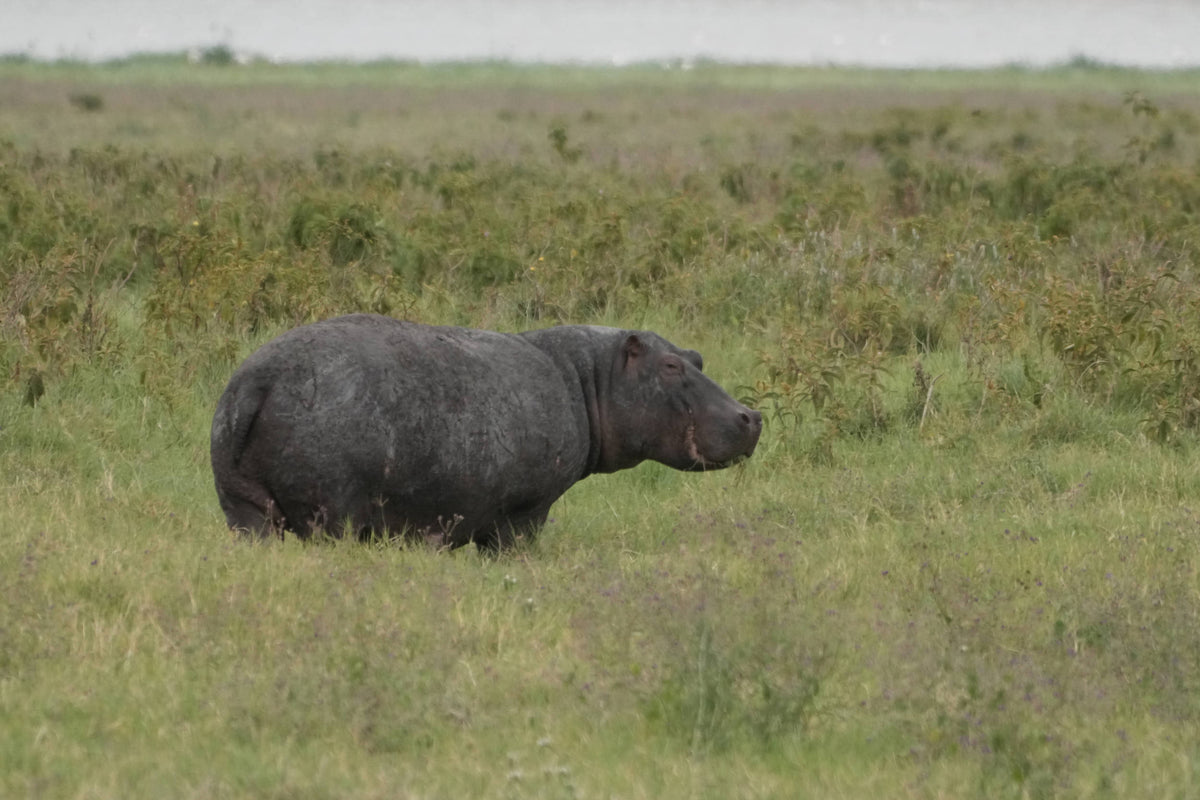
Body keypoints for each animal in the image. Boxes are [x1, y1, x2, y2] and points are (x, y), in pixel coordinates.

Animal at [210, 314, 761, 550]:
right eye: (670, 365)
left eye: (697, 357)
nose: (752, 416)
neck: (590, 378)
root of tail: (257, 379)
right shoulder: (526, 513)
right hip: (332, 515)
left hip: (246, 512)